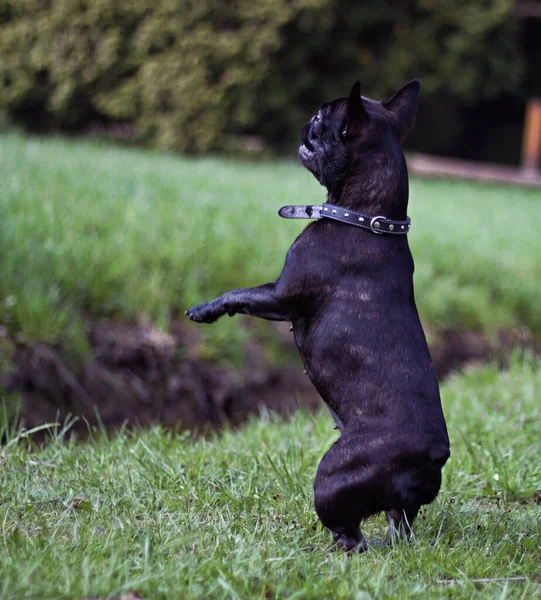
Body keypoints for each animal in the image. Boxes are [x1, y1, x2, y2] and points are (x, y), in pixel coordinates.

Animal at [188, 81, 450, 552]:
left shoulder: (280, 296)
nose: (305, 122)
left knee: (349, 533)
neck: (366, 219)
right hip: (397, 508)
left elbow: (242, 294)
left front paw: (205, 309)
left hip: (333, 475)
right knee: (396, 525)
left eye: (320, 119)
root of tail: (433, 456)